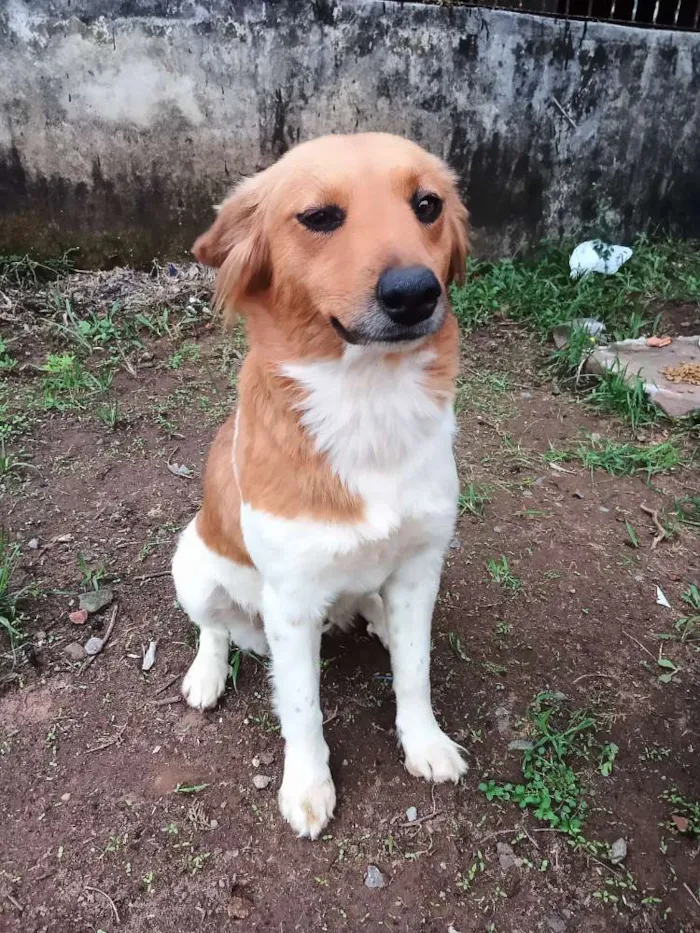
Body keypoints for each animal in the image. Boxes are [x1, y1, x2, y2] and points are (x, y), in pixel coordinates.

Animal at [171, 131, 470, 836]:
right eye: (319, 217)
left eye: (427, 204)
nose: (415, 293)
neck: (368, 401)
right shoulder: (292, 601)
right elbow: (302, 710)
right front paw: (307, 788)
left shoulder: (420, 568)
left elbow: (415, 672)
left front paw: (425, 743)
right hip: (191, 562)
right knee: (214, 628)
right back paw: (206, 675)